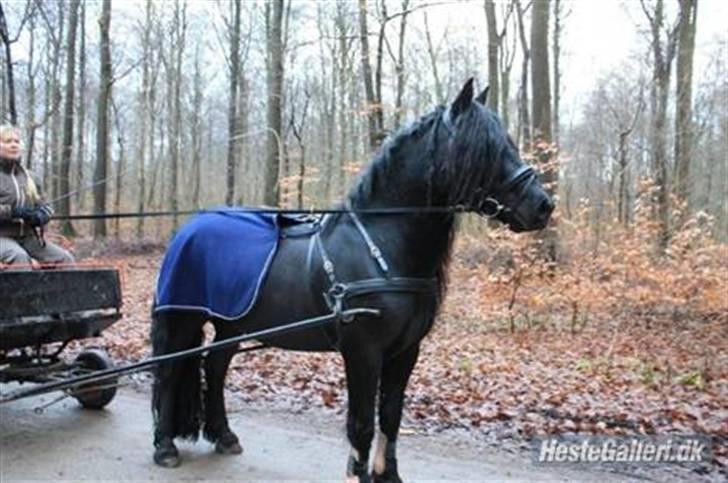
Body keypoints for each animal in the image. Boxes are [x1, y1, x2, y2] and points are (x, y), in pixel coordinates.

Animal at [150, 78, 553, 482]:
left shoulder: (406, 351)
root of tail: (189, 228)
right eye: (485, 148)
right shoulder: (363, 350)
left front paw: (388, 474)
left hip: (233, 326)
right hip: (182, 318)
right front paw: (359, 474)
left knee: (215, 367)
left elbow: (390, 417)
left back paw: (224, 436)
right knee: (167, 371)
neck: (381, 249)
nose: (543, 205)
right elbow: (361, 424)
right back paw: (165, 446)